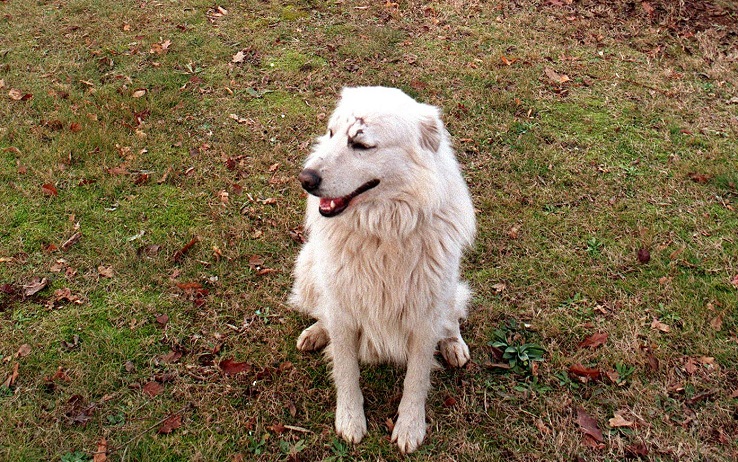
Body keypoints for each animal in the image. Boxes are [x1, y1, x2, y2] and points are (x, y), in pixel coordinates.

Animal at [288, 86, 472, 454]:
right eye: (331, 133)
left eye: (360, 144)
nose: (305, 179)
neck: (382, 231)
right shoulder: (343, 311)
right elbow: (346, 370)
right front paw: (350, 420)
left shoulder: (424, 317)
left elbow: (416, 379)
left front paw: (410, 427)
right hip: (308, 267)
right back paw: (315, 332)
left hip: (447, 289)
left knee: (452, 316)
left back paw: (453, 345)